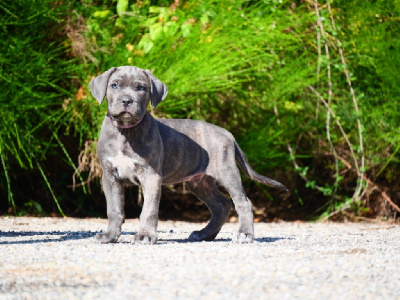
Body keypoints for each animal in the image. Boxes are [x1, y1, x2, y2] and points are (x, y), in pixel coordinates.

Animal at [89, 65, 288, 244]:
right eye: (114, 85)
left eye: (141, 88)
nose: (126, 100)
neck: (126, 131)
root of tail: (227, 133)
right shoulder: (110, 177)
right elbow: (114, 209)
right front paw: (109, 236)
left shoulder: (151, 175)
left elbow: (148, 209)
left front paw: (145, 236)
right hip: (200, 182)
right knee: (221, 205)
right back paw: (204, 234)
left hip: (227, 172)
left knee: (242, 202)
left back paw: (244, 235)